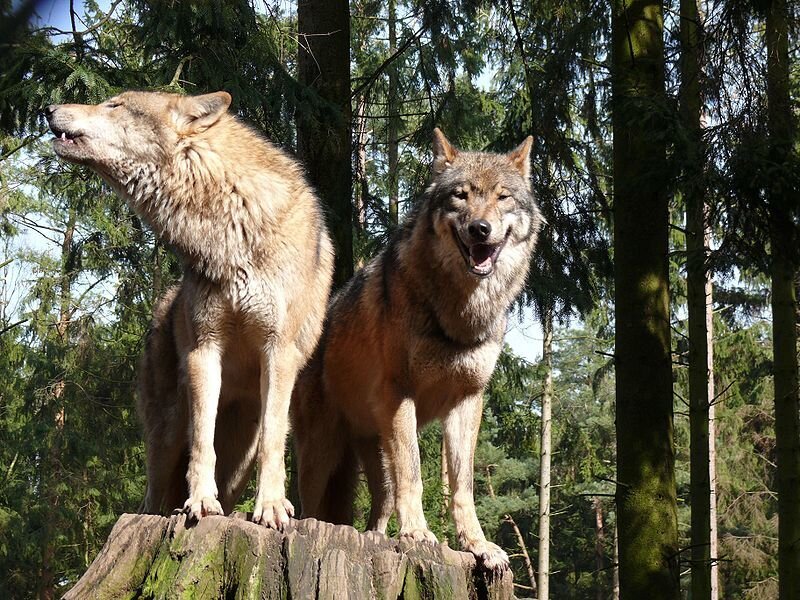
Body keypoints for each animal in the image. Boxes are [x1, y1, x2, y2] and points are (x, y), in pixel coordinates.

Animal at [45, 90, 334, 529]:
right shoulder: (204, 348)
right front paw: (199, 500)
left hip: (239, 460)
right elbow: (202, 439)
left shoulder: (278, 351)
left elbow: (273, 439)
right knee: (153, 494)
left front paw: (270, 506)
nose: (48, 109)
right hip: (165, 435)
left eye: (115, 106)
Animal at [292, 128, 541, 569]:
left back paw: (375, 537)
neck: (459, 313)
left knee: (381, 505)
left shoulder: (467, 400)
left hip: (372, 453)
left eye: (502, 197)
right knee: (310, 503)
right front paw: (417, 533)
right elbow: (415, 473)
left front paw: (478, 545)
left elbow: (462, 486)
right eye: (461, 195)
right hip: (319, 453)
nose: (480, 228)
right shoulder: (400, 393)